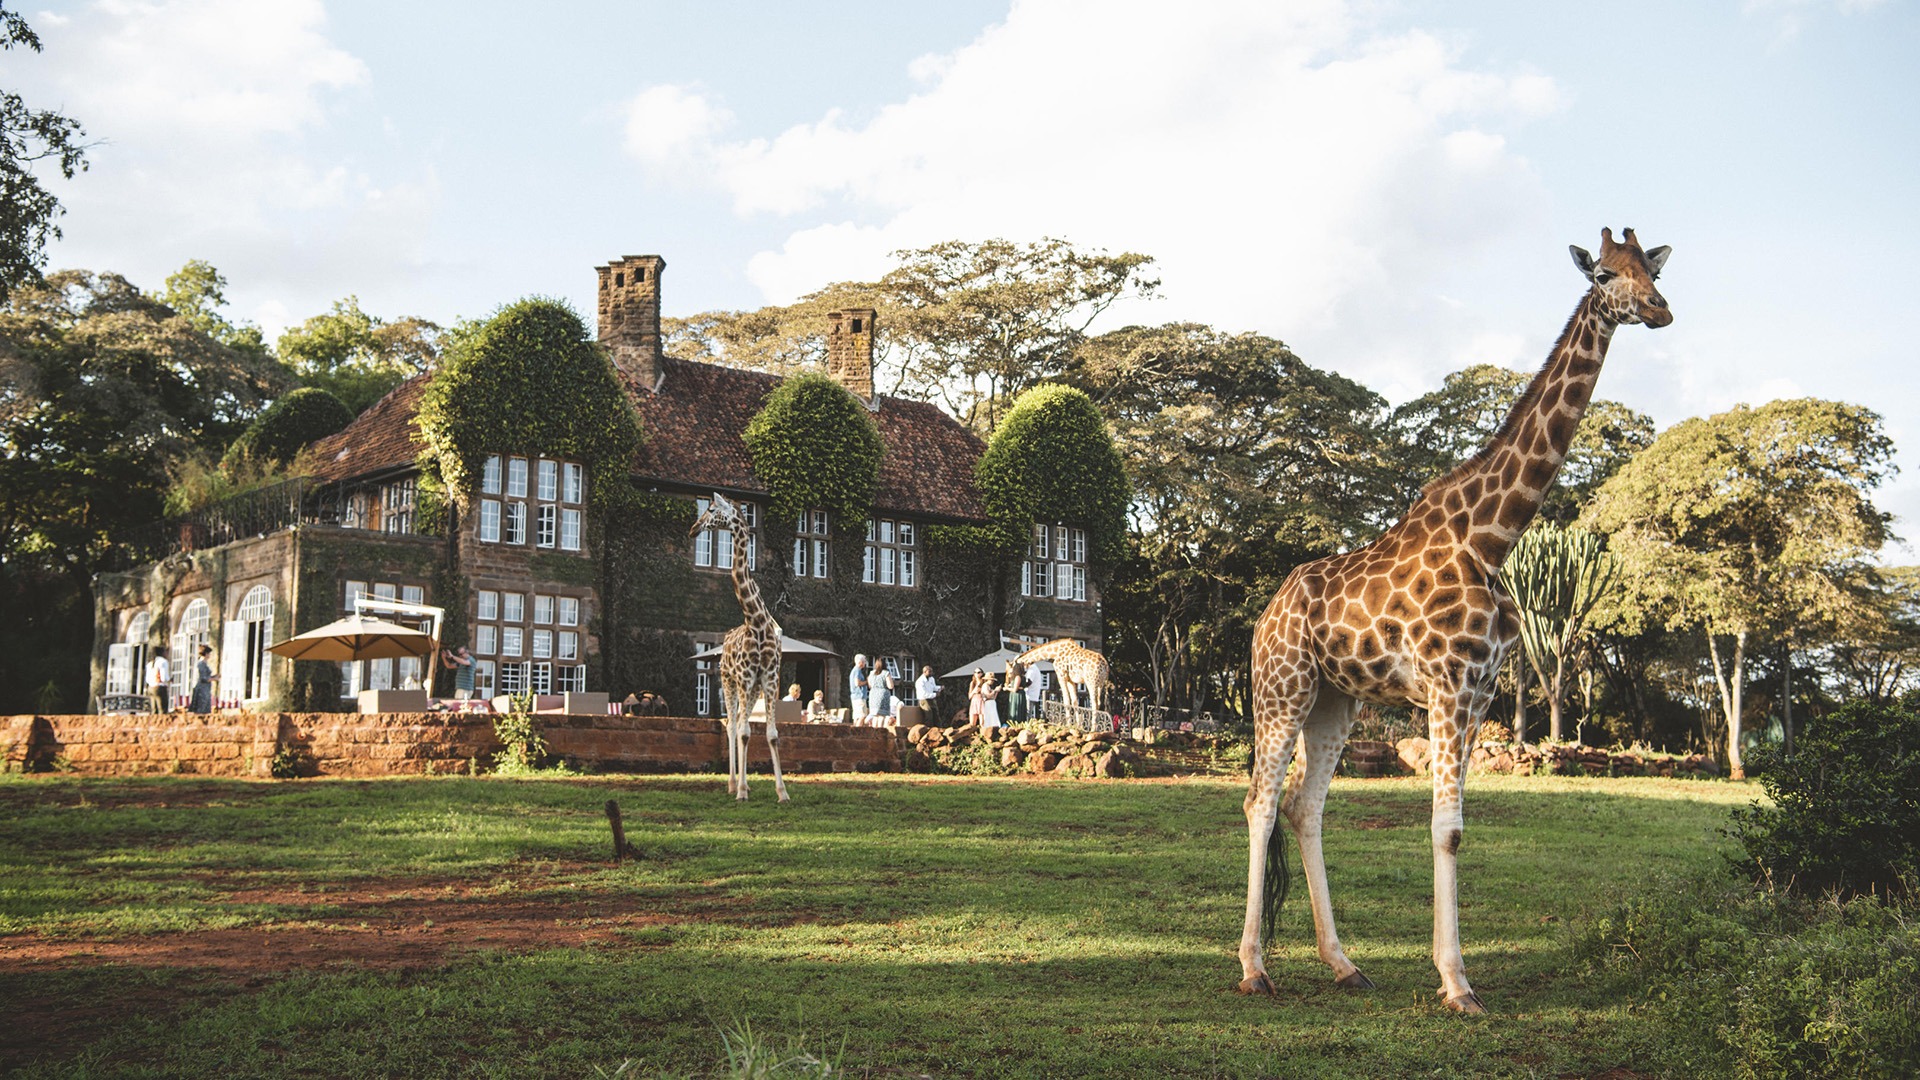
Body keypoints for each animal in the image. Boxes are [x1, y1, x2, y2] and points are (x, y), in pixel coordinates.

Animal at [689, 492, 791, 802]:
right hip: (729, 681)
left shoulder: (769, 678)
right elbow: (744, 732)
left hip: (752, 688)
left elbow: (771, 734)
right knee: (732, 725)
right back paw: (734, 784)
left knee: (738, 723)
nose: (693, 529)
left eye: (711, 509)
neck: (755, 621)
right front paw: (743, 790)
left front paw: (782, 792)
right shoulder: (744, 677)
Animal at [1235, 228, 1672, 1014]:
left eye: (1649, 270)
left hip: (1337, 700)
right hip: (1281, 687)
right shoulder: (1445, 685)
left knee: (1305, 808)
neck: (1494, 536)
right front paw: (1456, 983)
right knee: (1259, 801)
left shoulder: (1480, 691)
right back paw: (1254, 968)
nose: (1659, 310)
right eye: (1602, 274)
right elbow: (1445, 830)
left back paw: (1344, 964)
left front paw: (1453, 975)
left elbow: (1457, 830)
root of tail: (1268, 612)